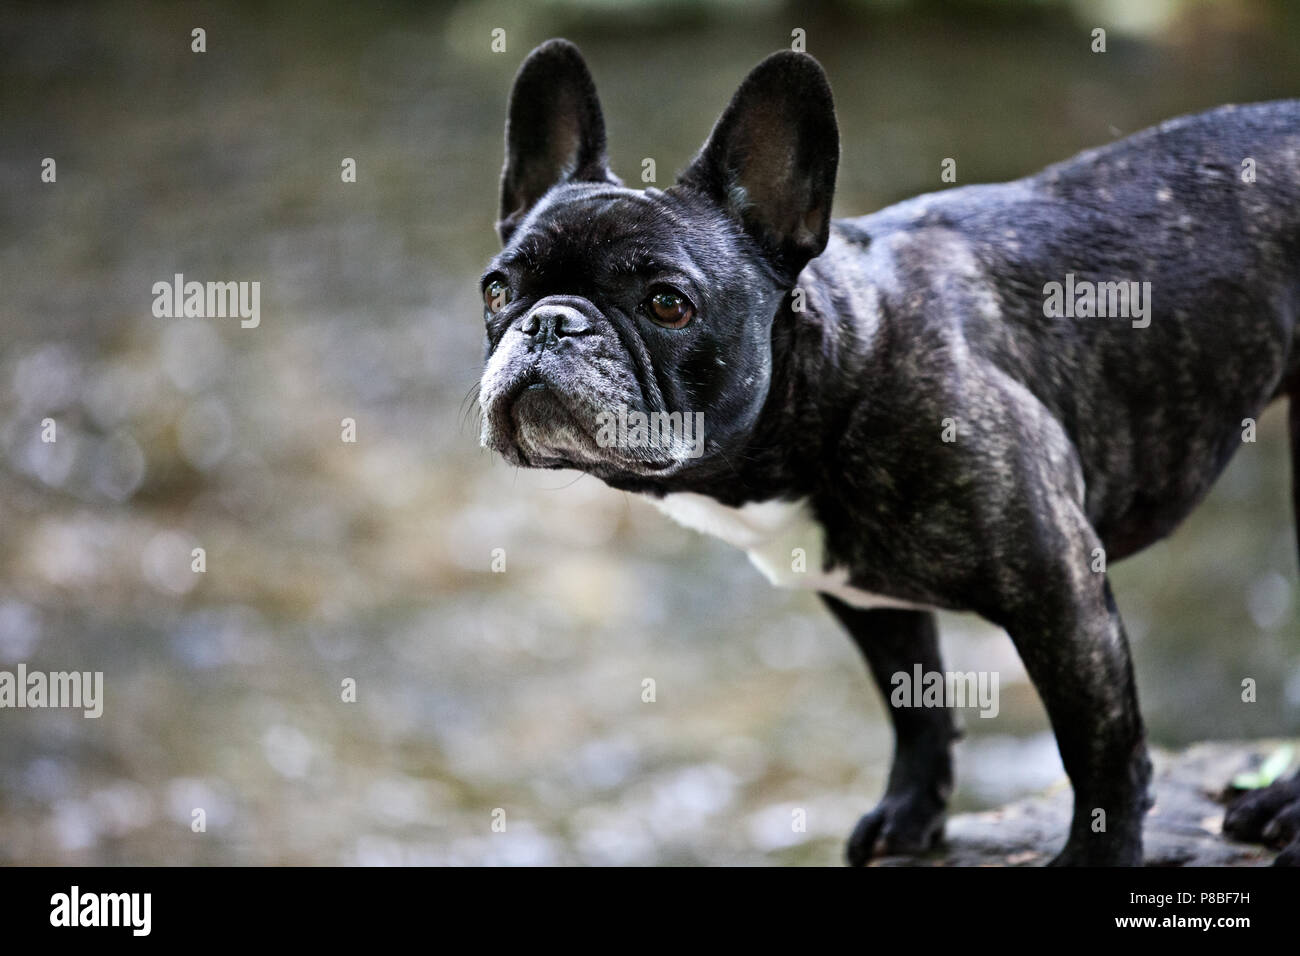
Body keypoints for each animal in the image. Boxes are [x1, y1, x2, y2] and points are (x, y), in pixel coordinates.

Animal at [478, 37, 1300, 863]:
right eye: (496, 292)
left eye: (667, 304)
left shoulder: (1061, 594)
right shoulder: (871, 602)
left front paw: (1096, 855)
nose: (550, 321)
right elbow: (917, 706)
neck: (837, 379)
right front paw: (911, 814)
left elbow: (1100, 750)